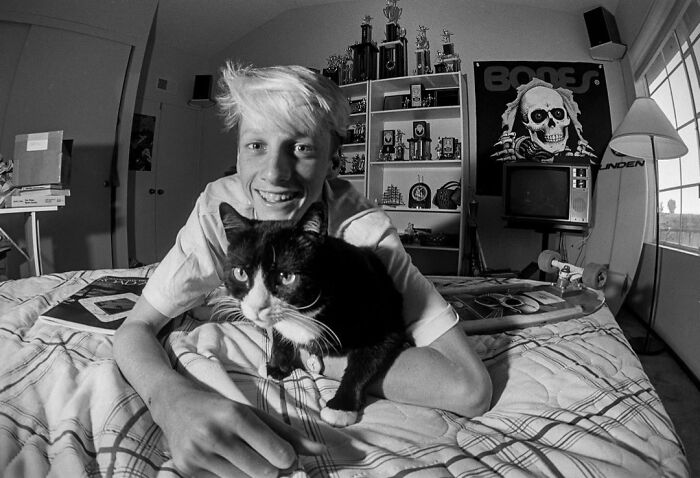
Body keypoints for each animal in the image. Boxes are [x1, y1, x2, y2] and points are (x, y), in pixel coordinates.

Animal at [216, 201, 408, 426]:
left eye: (287, 276)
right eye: (240, 273)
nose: (257, 307)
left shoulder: (385, 323)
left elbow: (364, 363)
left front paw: (341, 407)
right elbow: (280, 336)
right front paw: (276, 366)